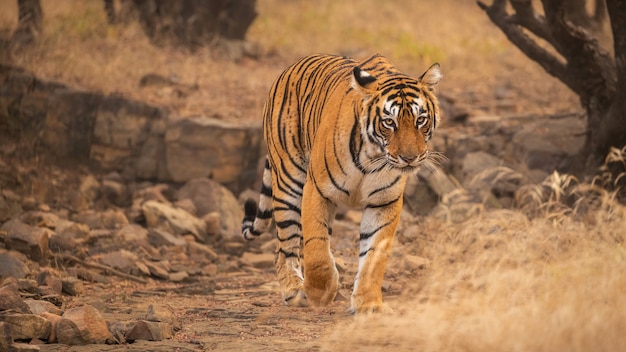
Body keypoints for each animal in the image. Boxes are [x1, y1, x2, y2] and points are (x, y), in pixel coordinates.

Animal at [239, 53, 438, 314]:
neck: (372, 157)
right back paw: (294, 290)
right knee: (285, 246)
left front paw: (368, 303)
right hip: (288, 181)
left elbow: (374, 256)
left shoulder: (384, 202)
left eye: (421, 120)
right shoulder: (317, 190)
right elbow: (316, 249)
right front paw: (320, 292)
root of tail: (289, 69)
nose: (410, 158)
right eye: (389, 122)